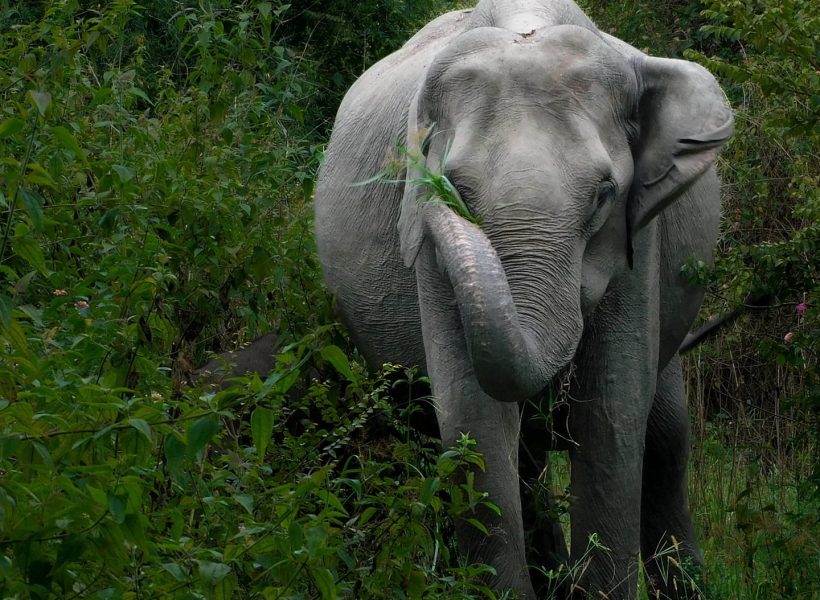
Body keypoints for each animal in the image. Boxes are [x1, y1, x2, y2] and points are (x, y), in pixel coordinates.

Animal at [312, 2, 732, 596]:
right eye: (455, 190)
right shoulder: (431, 260)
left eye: (604, 194)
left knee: (667, 436)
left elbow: (613, 415)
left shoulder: (640, 238)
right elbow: (474, 421)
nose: (423, 179)